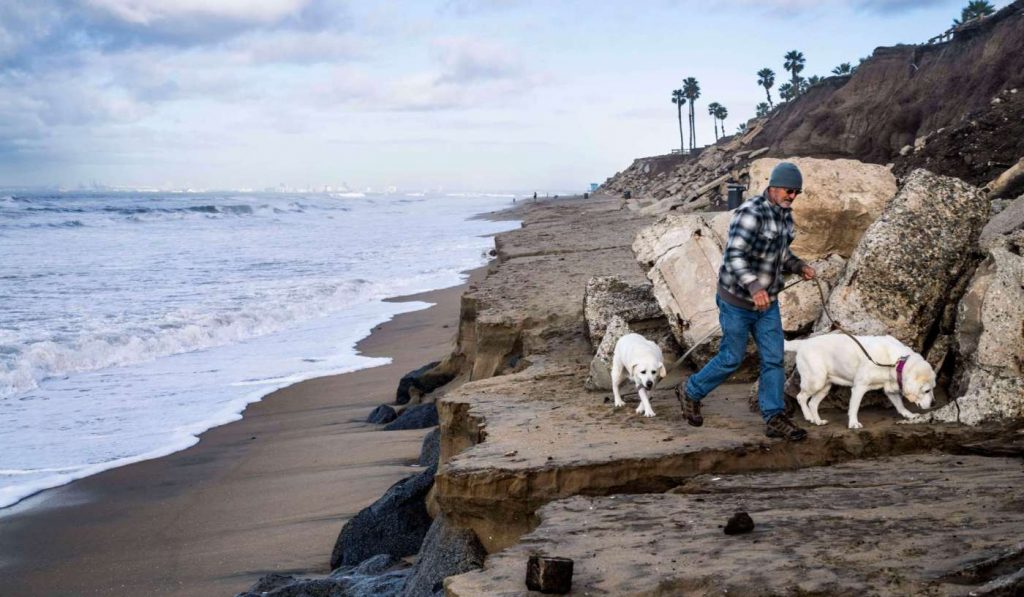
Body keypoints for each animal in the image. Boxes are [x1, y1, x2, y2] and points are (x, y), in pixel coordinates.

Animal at [782, 335, 937, 430]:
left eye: (933, 388)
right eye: (927, 390)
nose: (934, 404)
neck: (896, 362)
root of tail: (803, 342)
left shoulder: (889, 389)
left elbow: (900, 405)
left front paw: (909, 415)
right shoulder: (859, 387)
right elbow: (854, 408)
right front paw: (853, 423)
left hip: (825, 386)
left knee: (813, 403)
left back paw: (817, 421)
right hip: (816, 380)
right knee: (801, 397)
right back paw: (808, 416)